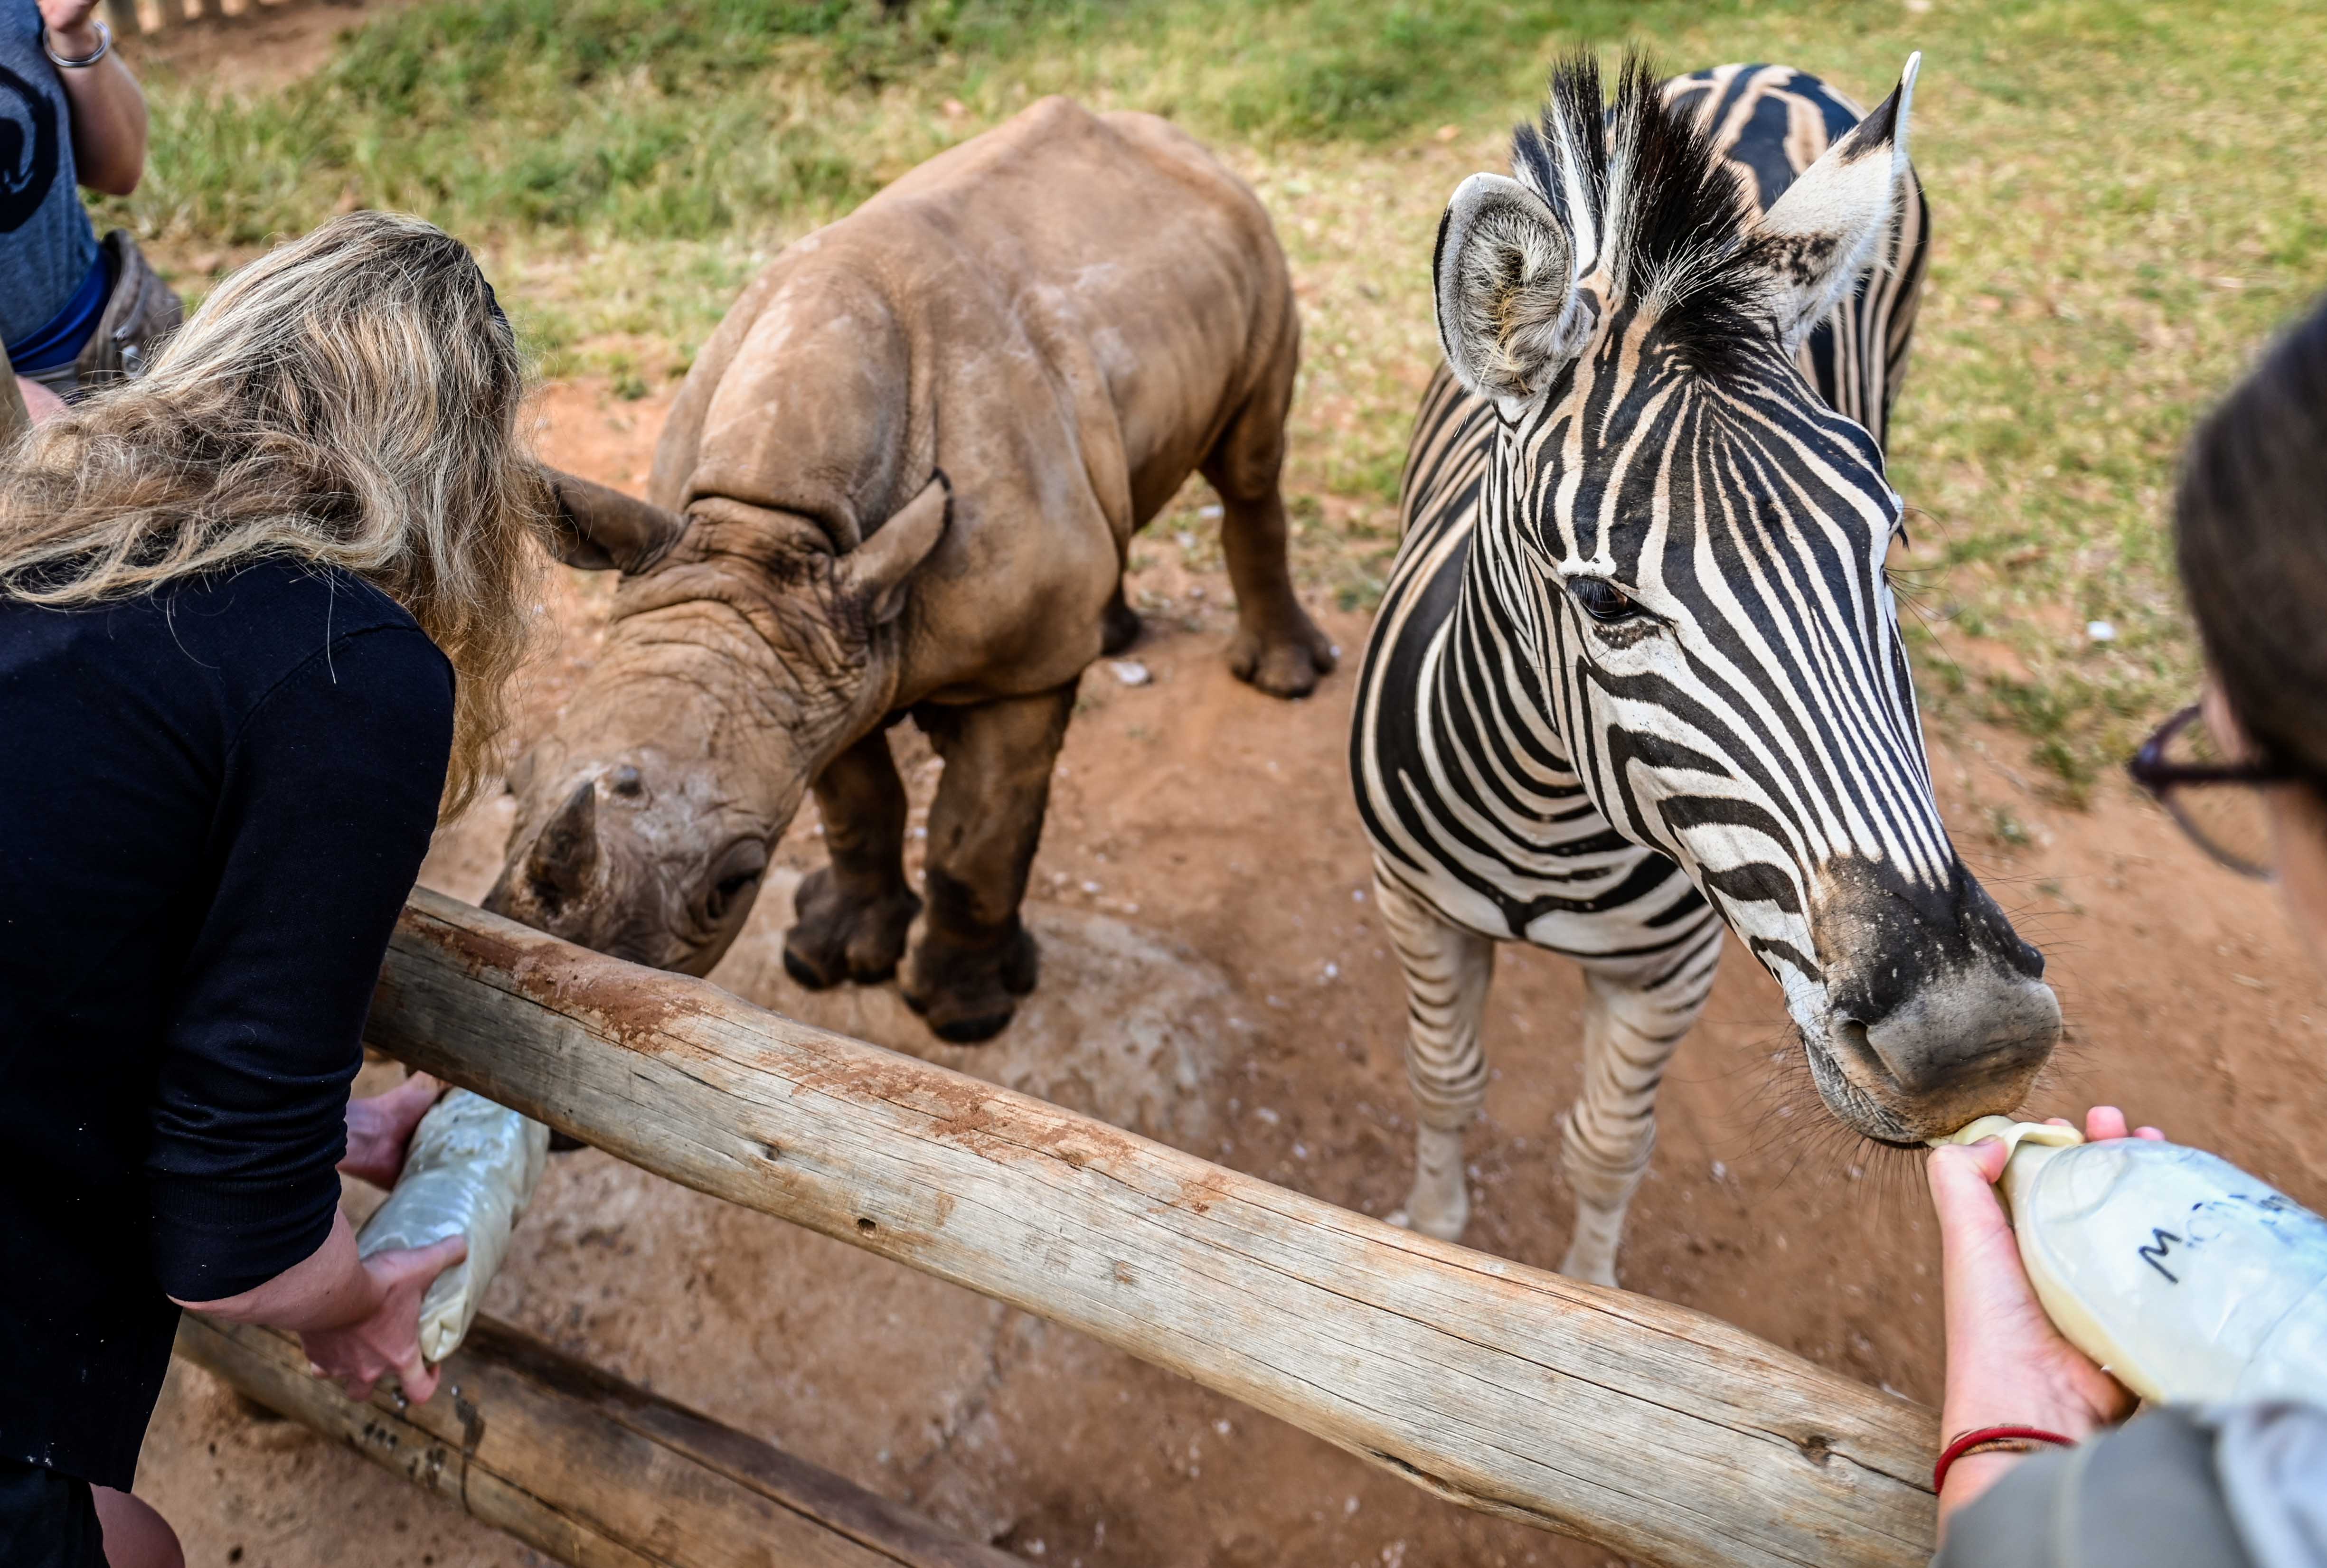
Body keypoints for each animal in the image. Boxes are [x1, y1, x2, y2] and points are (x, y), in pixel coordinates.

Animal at [493, 98, 1333, 1041]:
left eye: (734, 883)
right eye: (513, 784)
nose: (552, 964)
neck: (764, 526)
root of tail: (1181, 141)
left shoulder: (990, 667)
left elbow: (979, 841)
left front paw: (963, 1015)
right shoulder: (812, 642)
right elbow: (858, 804)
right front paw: (830, 958)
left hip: (1258, 248)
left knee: (1249, 465)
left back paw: (1284, 676)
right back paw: (1111, 631)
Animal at [1349, 55, 2061, 1286]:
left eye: (1887, 549)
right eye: (1602, 601)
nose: (1974, 1041)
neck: (1544, 812)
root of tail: (1767, 72)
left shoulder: (1667, 972)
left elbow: (1607, 1143)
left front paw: (1591, 1299)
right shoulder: (1415, 907)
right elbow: (1442, 1081)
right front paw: (1428, 1234)